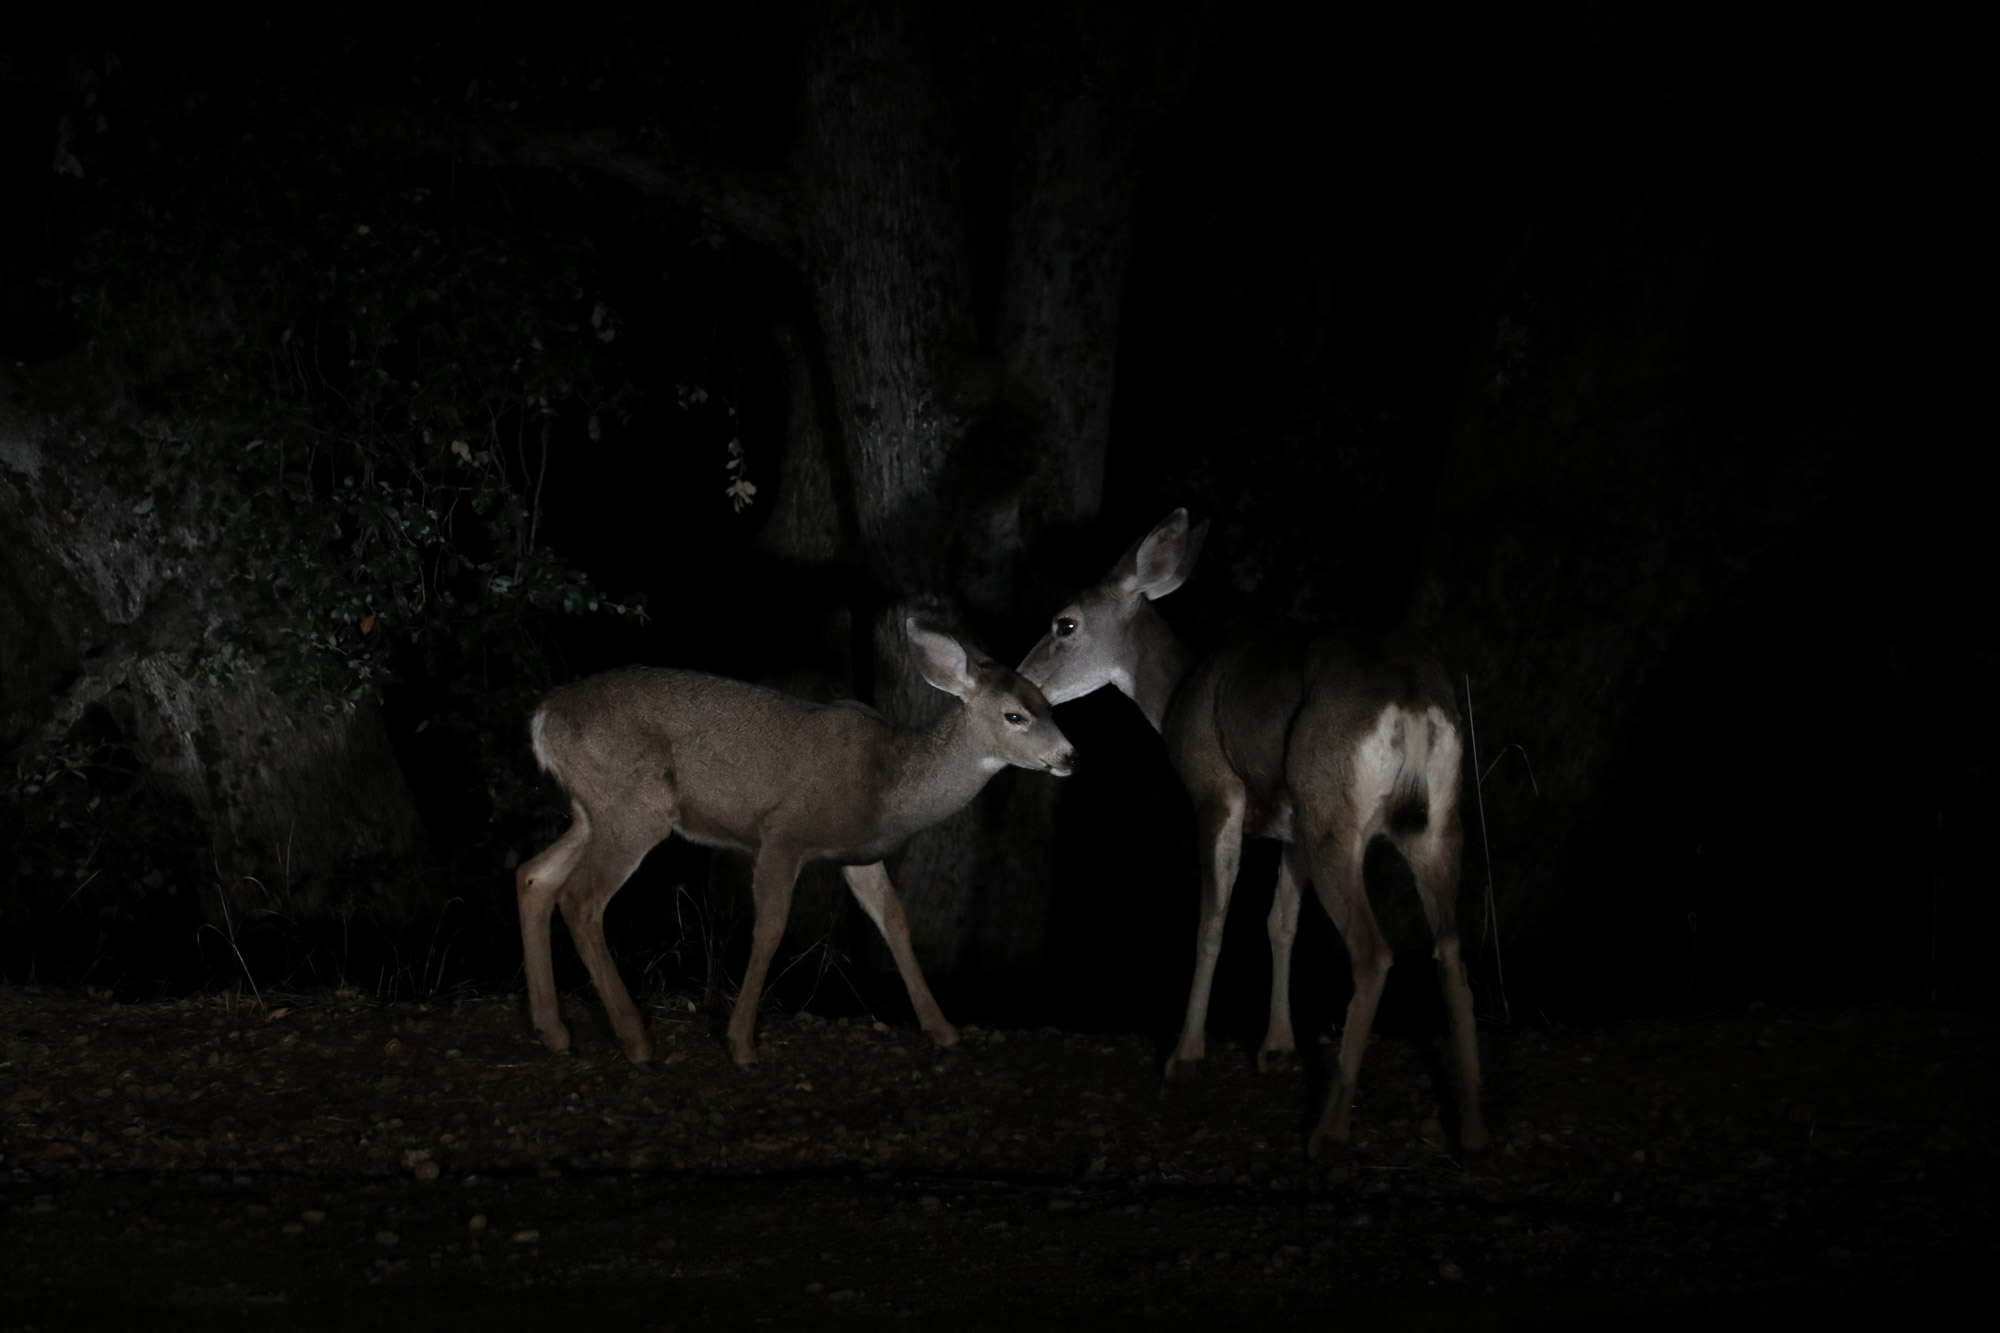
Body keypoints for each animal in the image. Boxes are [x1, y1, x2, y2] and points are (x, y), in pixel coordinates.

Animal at [516, 616, 1080, 1064]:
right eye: (1014, 715)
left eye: (1050, 706)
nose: (1070, 756)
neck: (887, 790)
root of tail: (542, 716)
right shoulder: (782, 834)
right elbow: (770, 928)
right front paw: (741, 1043)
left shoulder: (861, 855)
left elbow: (895, 922)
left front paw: (942, 1030)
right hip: (635, 805)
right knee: (581, 898)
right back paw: (635, 1040)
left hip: (593, 810)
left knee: (534, 876)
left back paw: (555, 1031)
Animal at [1016, 508, 1488, 1152]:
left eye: (1065, 623)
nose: (1019, 682)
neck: (1175, 698)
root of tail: (1412, 701)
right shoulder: (1290, 829)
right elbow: (1279, 923)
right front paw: (1277, 1050)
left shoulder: (1216, 792)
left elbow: (1212, 922)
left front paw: (1186, 1057)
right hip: (1432, 818)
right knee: (1452, 951)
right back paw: (1474, 1129)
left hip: (1333, 810)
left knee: (1374, 953)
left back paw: (1330, 1129)